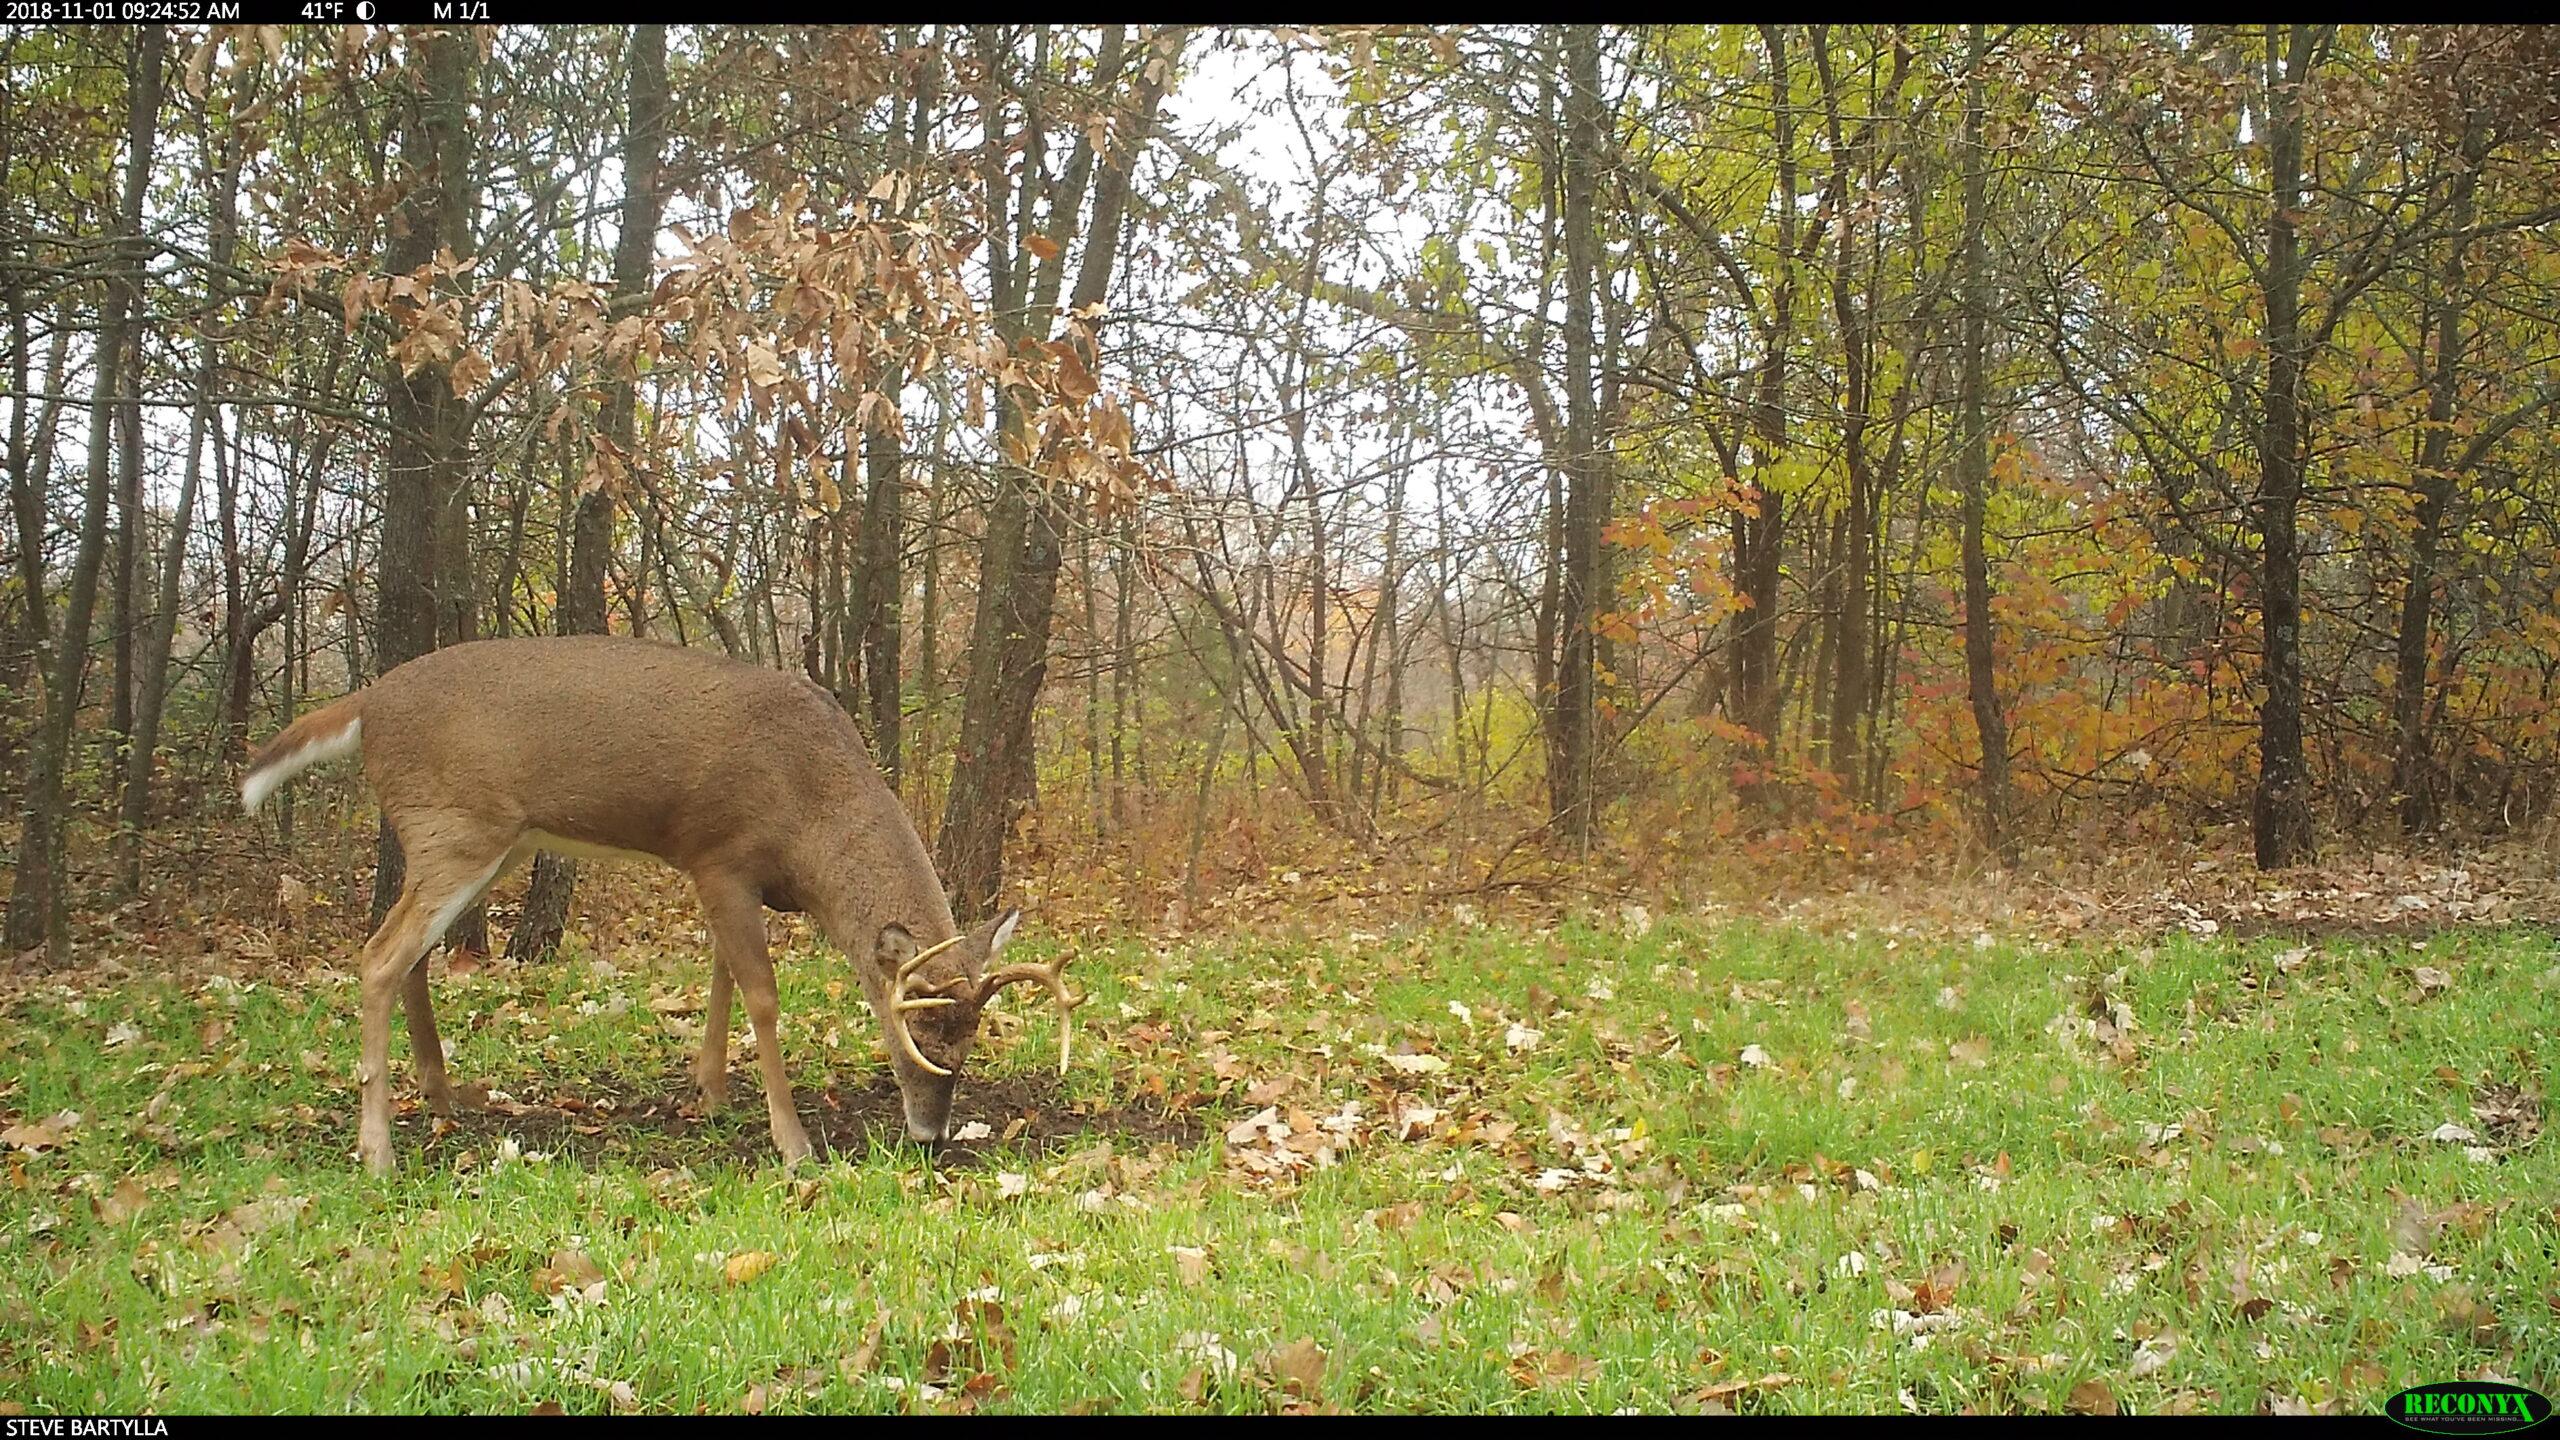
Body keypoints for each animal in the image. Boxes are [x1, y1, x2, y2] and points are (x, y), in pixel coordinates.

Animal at [241, 635, 1080, 1168]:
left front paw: (710, 1093)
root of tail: (365, 705)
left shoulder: (728, 878)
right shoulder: (718, 855)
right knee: (379, 956)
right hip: (453, 828)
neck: (811, 813)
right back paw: (377, 1149)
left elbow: (720, 978)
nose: (930, 1135)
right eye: (917, 1033)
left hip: (479, 843)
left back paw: (444, 1098)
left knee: (412, 954)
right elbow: (761, 993)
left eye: (973, 1037)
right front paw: (794, 1144)